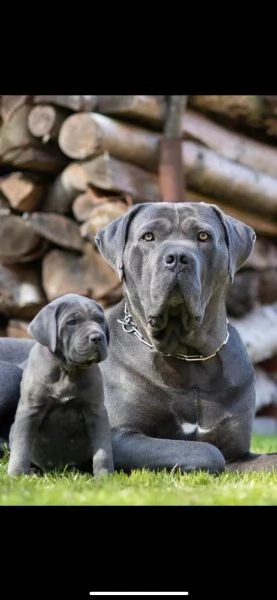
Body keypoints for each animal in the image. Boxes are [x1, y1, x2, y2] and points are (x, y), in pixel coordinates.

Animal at [7, 292, 113, 476]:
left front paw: (104, 476)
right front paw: (17, 474)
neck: (67, 370)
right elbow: (21, 446)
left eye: (99, 320)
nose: (97, 337)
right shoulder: (29, 410)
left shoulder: (96, 411)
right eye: (72, 322)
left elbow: (103, 449)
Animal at [94, 202, 276, 474]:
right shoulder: (120, 437)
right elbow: (208, 452)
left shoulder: (239, 453)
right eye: (148, 237)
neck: (188, 356)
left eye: (203, 236)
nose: (178, 257)